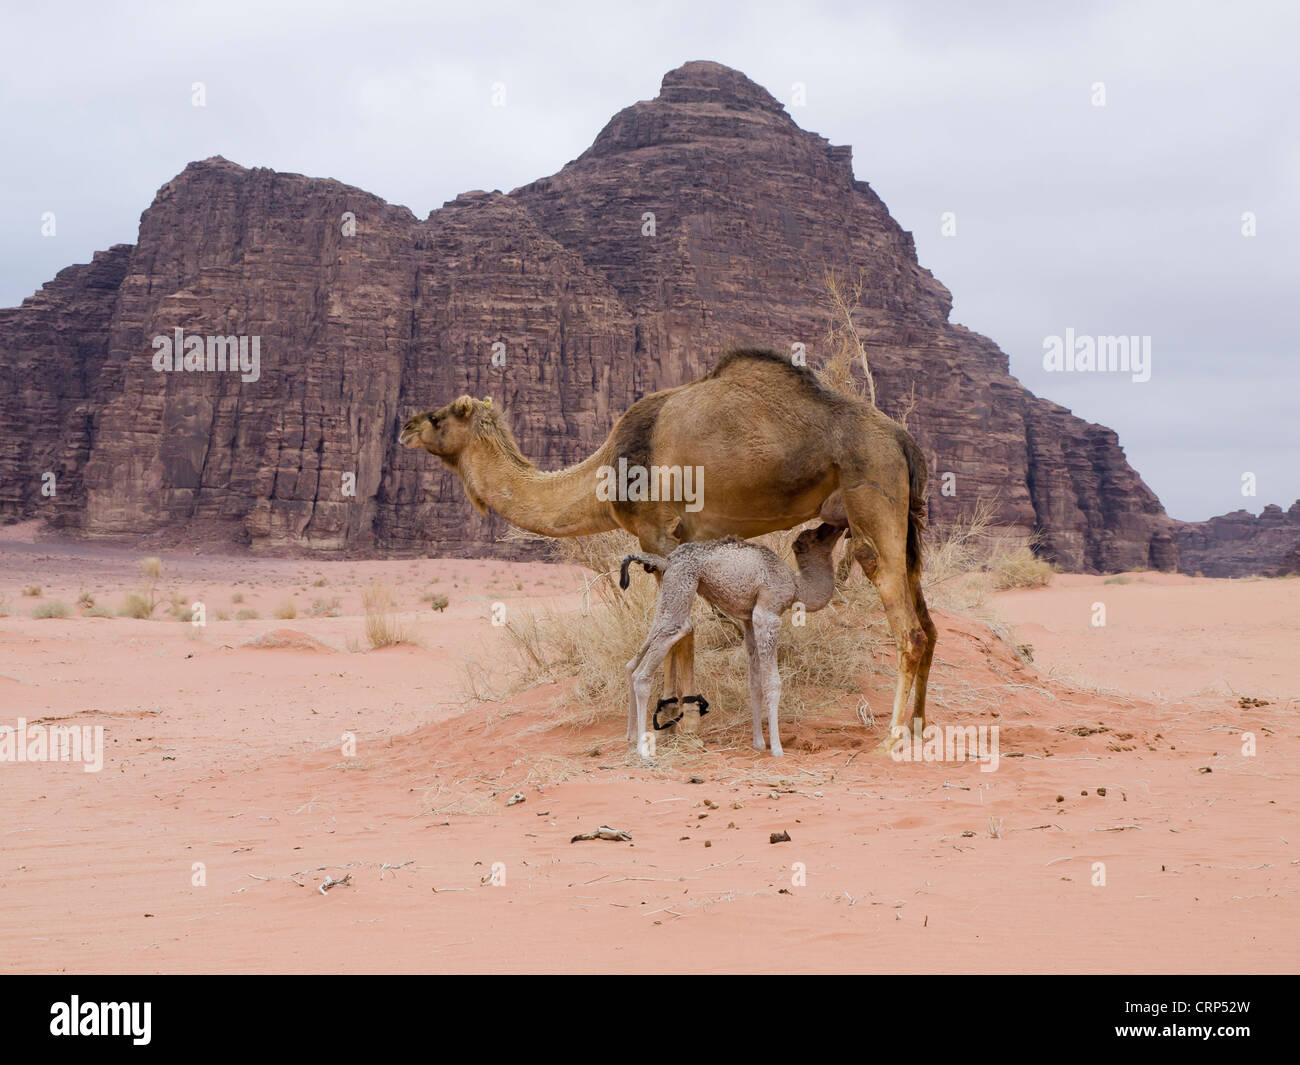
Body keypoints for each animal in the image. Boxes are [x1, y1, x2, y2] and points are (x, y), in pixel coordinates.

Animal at [618, 525, 842, 759]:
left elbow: (755, 682)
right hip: (682, 586)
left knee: (634, 661)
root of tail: (667, 561)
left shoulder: (749, 621)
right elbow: (772, 682)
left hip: (667, 596)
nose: (836, 527)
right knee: (645, 671)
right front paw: (777, 748)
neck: (797, 587)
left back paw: (631, 736)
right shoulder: (767, 613)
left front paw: (758, 742)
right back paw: (642, 748)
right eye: (817, 536)